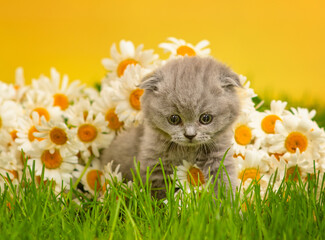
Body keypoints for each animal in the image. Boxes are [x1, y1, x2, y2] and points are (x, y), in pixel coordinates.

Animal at [101, 56, 240, 199]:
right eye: (174, 119)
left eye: (206, 118)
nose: (190, 135)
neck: (188, 151)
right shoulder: (155, 163)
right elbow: (159, 193)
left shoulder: (219, 156)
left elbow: (224, 182)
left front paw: (227, 203)